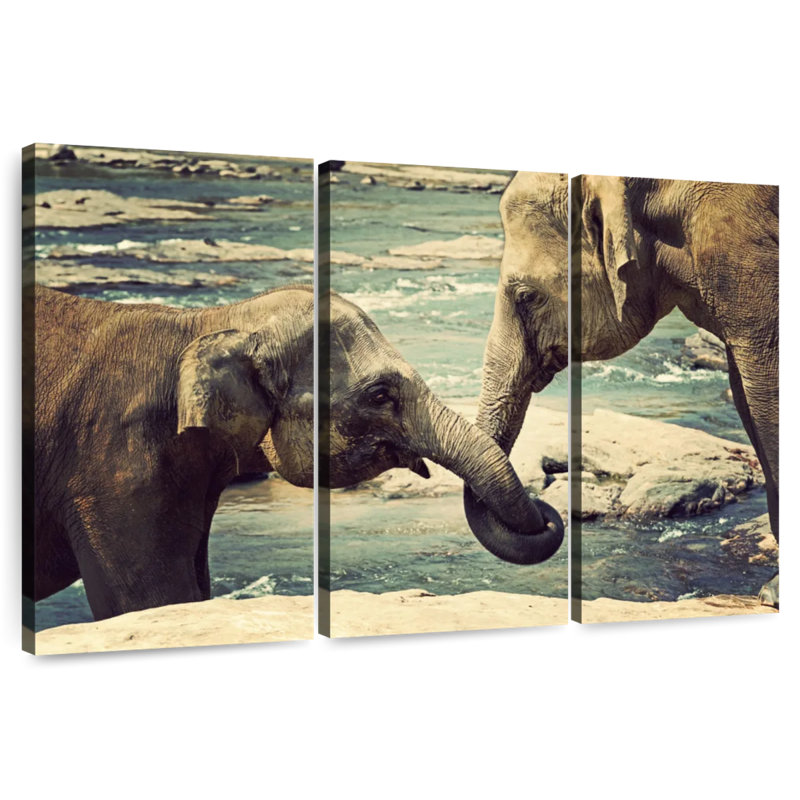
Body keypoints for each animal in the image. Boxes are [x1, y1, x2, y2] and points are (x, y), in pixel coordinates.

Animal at [468, 171, 778, 603]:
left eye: (527, 296)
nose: (547, 514)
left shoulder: (744, 248)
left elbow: (766, 385)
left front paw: (775, 592)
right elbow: (746, 396)